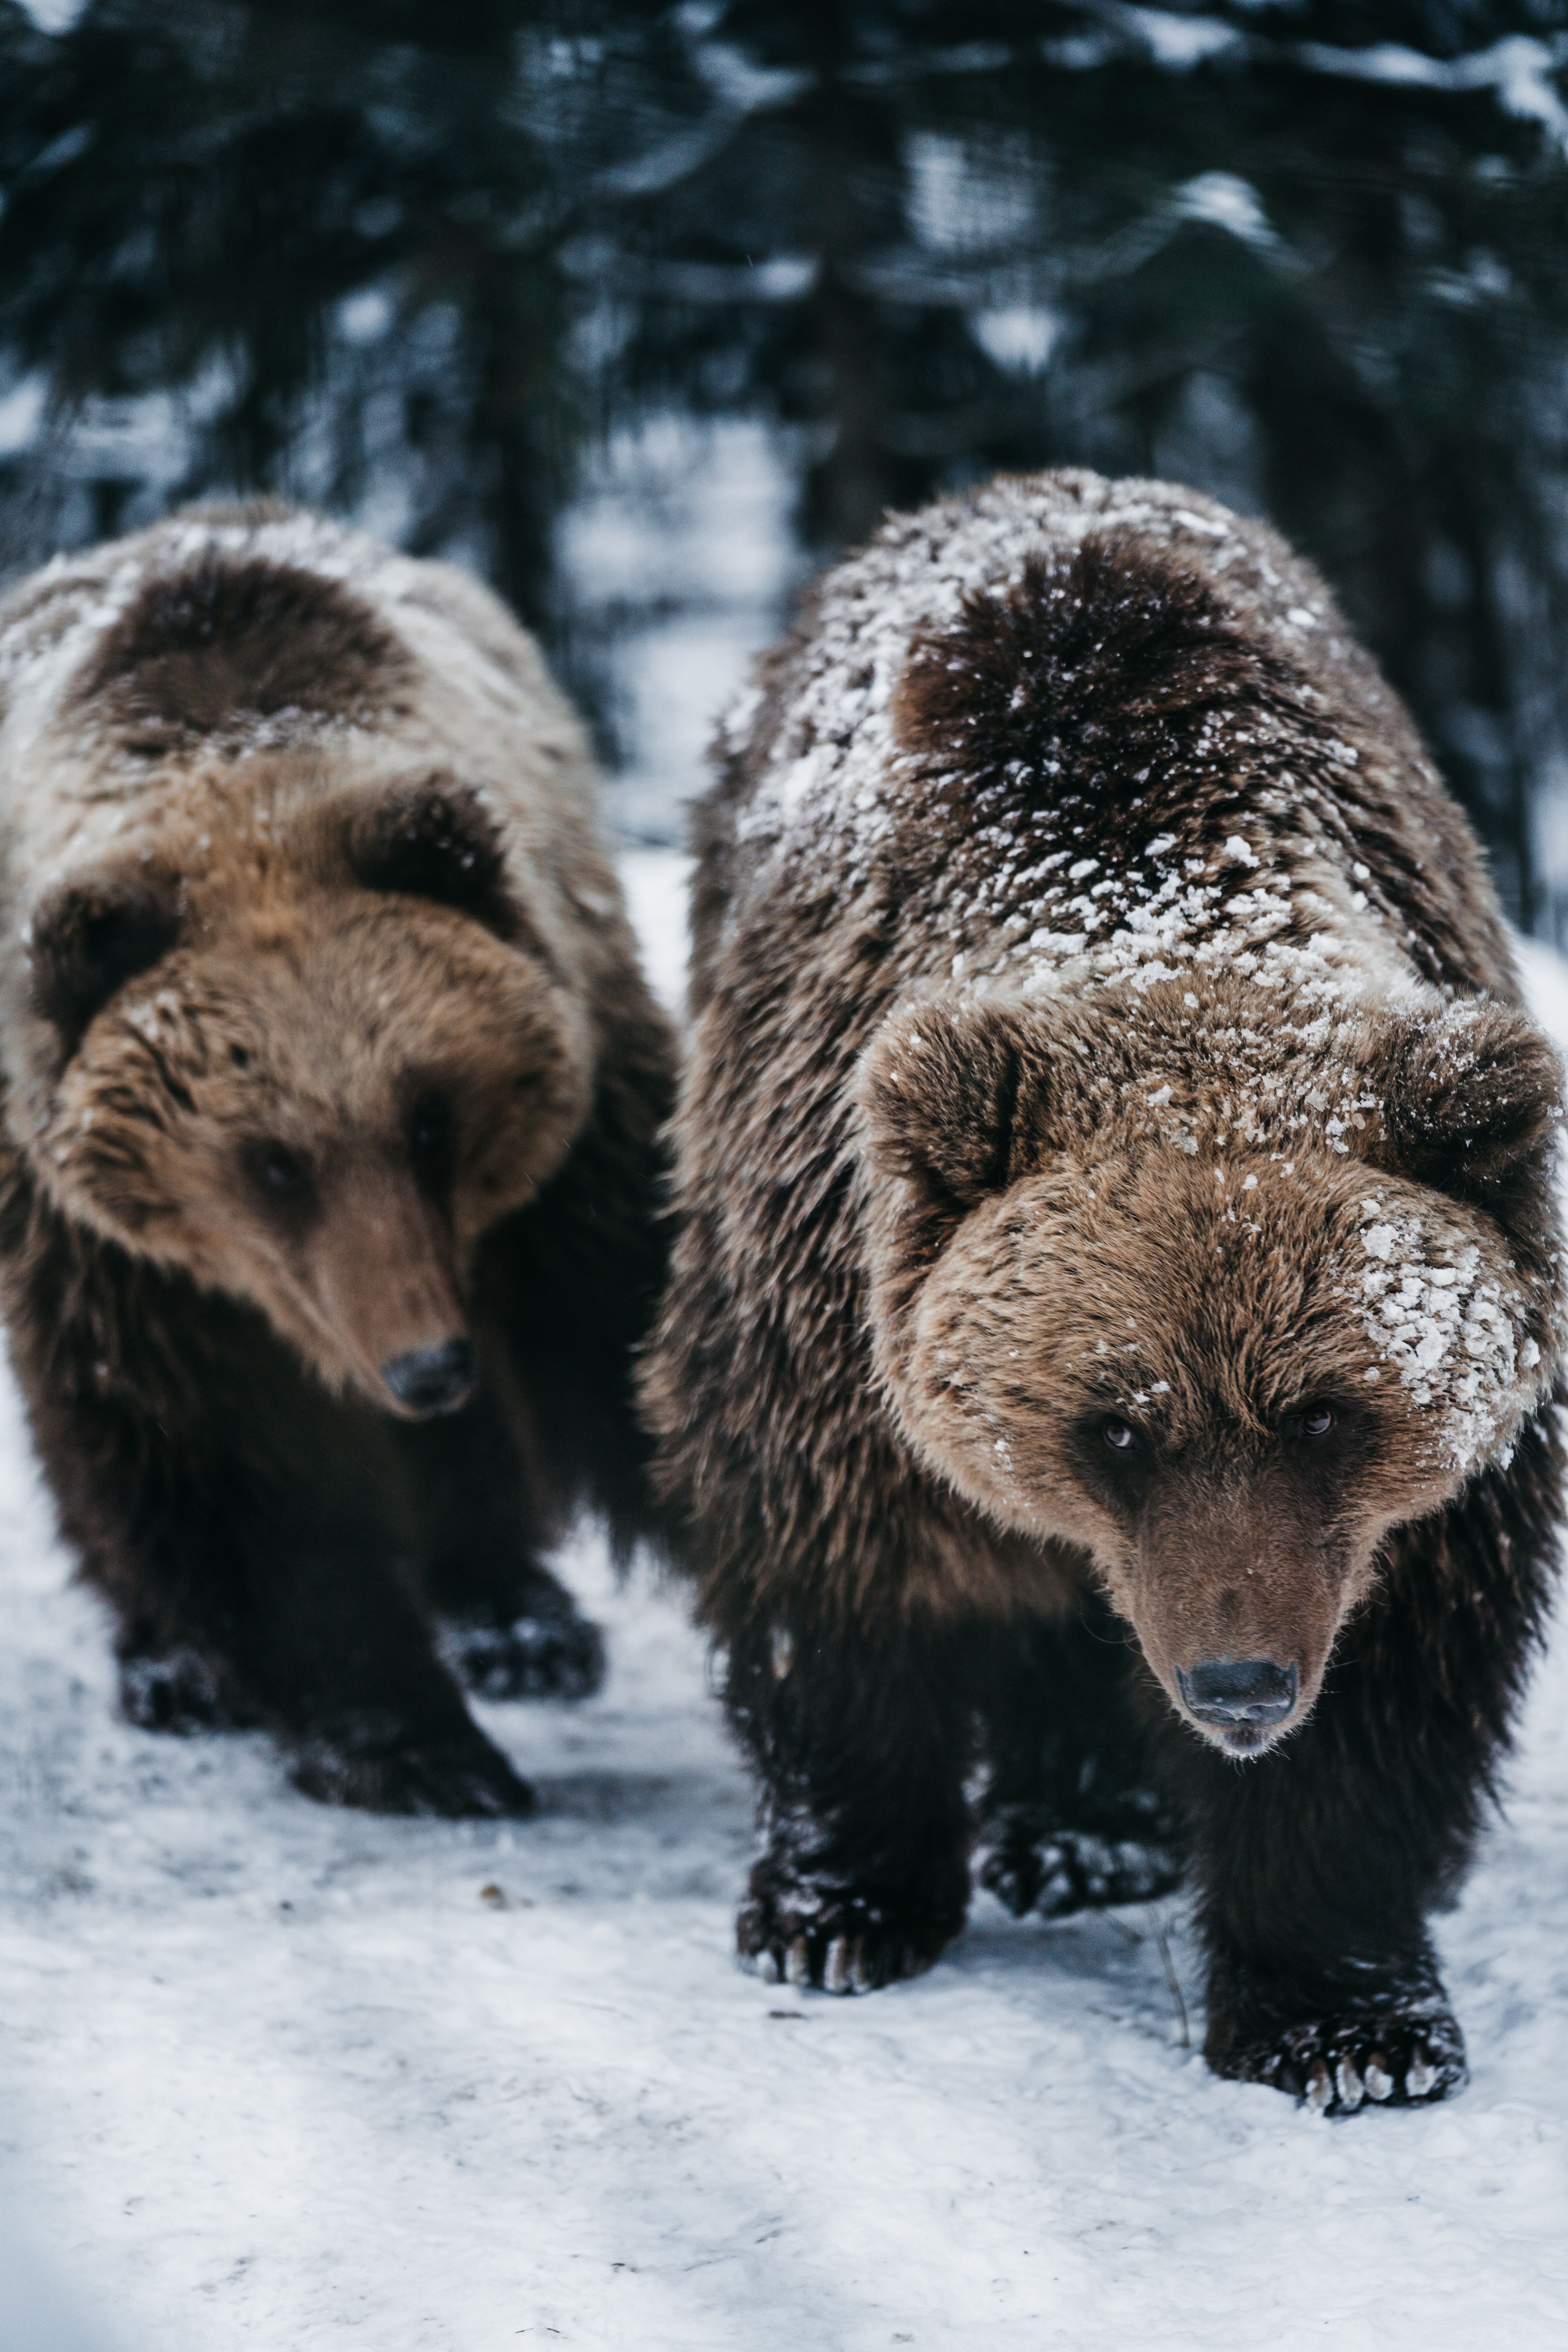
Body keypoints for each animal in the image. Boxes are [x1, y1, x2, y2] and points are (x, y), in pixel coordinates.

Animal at [0, 501, 672, 1816]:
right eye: (271, 1162)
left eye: (431, 1116)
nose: (425, 1363)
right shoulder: (117, 1250)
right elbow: (209, 1459)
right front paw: (420, 1746)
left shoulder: (571, 1126)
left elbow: (627, 1317)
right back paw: (167, 1665)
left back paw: (518, 1617)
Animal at [642, 467, 1565, 2113]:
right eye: (1115, 1423)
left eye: (1326, 1413)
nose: (1238, 1679)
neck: (1146, 883)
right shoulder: (826, 1311)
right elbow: (832, 1591)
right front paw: (833, 1907)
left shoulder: (1417, 1499)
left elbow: (1382, 1707)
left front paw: (1345, 2022)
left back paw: (1088, 1834)